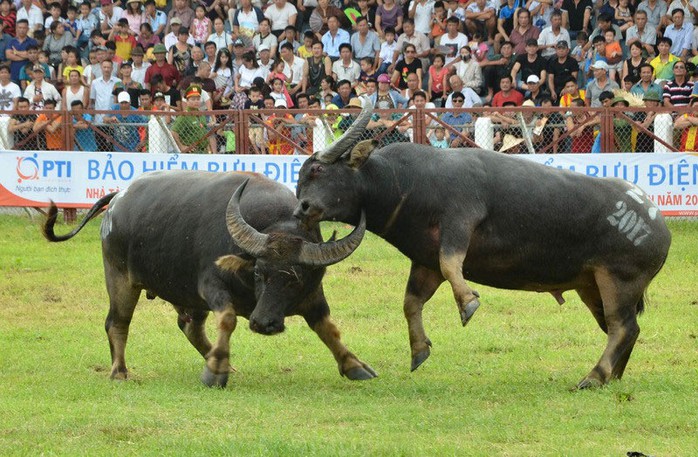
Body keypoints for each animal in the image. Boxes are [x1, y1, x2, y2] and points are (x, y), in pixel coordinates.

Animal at [42, 170, 376, 384]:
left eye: (296, 278)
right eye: (259, 272)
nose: (263, 323)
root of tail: (117, 199)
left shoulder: (312, 297)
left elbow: (328, 329)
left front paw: (355, 365)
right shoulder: (211, 286)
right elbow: (227, 319)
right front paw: (215, 373)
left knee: (190, 327)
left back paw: (222, 360)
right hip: (120, 277)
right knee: (117, 323)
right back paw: (120, 372)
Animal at [294, 101, 668, 386]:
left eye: (318, 172)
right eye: (300, 178)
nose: (302, 209)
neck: (405, 183)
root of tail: (655, 219)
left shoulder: (460, 223)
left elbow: (452, 264)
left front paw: (468, 303)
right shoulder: (424, 261)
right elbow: (411, 302)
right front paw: (419, 350)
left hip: (619, 280)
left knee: (622, 327)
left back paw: (594, 376)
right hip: (592, 285)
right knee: (624, 329)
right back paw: (612, 376)